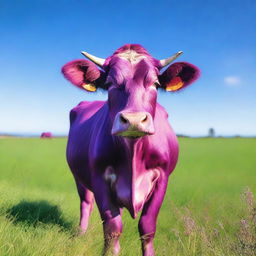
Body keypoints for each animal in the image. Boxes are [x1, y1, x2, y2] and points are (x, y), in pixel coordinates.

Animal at [61, 44, 199, 256]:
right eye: (109, 83)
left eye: (155, 83)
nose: (134, 120)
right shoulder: (99, 177)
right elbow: (112, 228)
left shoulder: (162, 177)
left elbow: (147, 227)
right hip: (79, 177)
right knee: (86, 203)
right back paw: (81, 234)